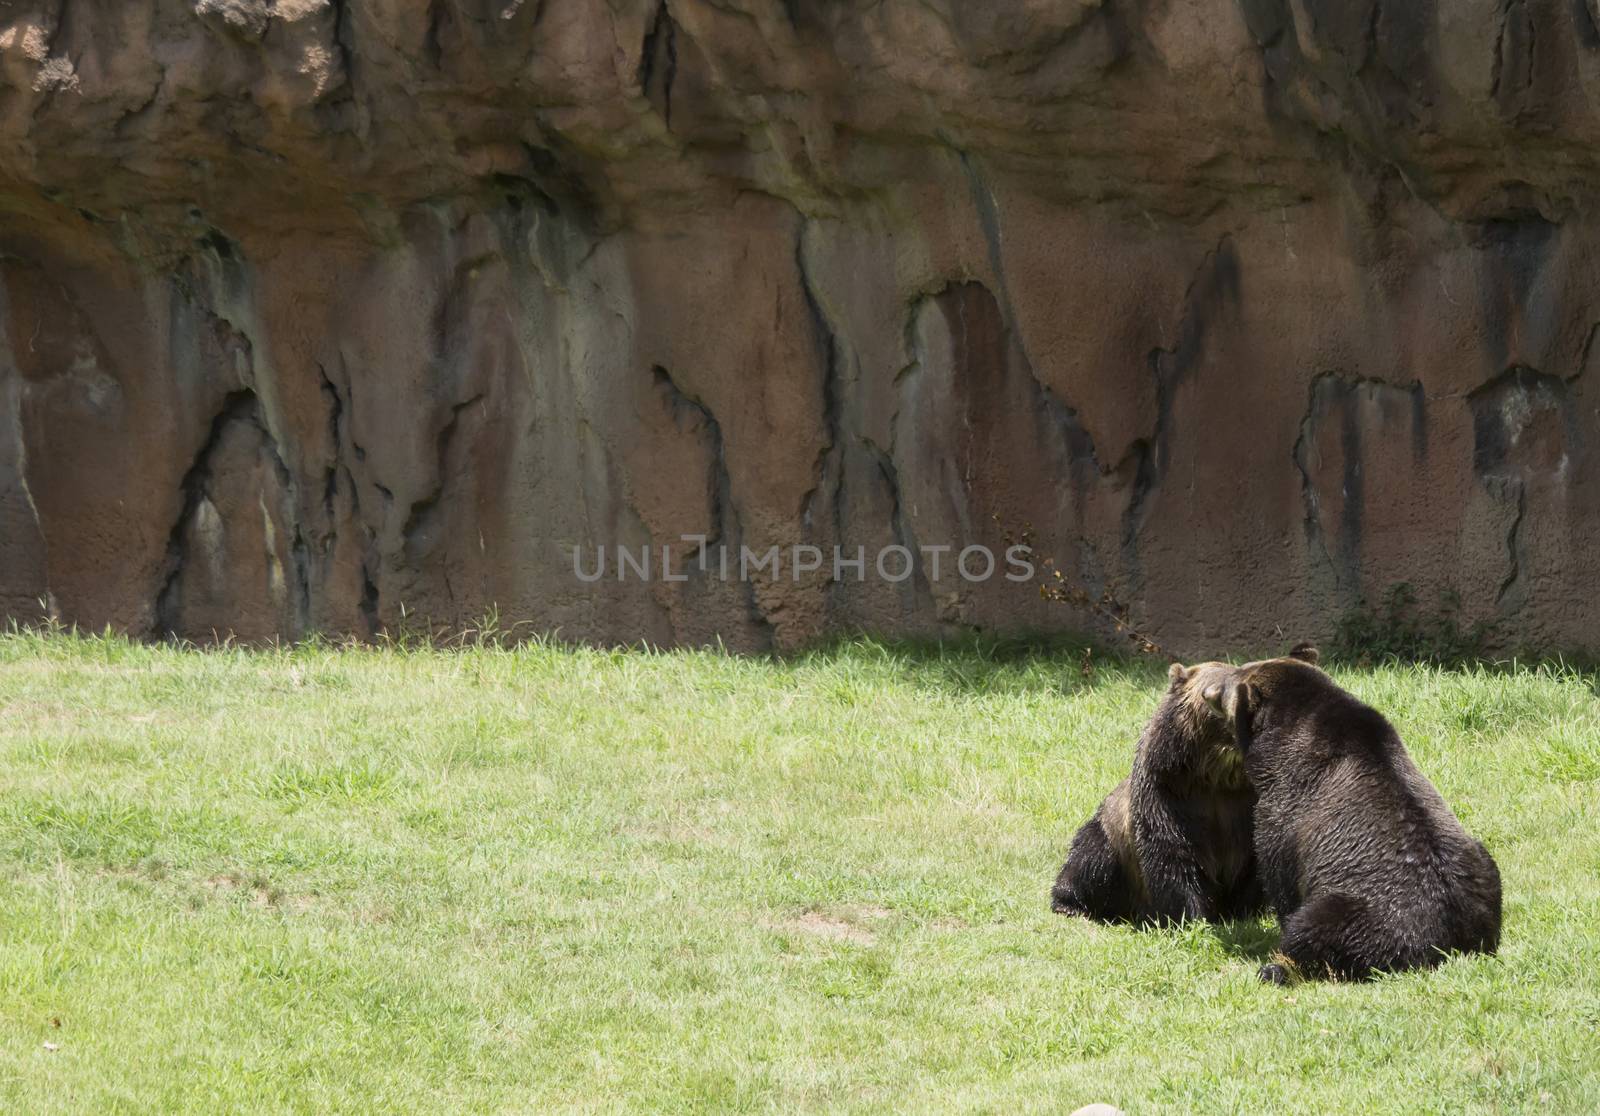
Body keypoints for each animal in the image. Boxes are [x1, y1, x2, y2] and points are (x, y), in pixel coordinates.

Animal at [1056, 661, 1267, 920]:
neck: (1219, 775)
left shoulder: (1249, 802)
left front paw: (1245, 911)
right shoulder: (1169, 790)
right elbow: (1170, 851)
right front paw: (1190, 915)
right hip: (1110, 838)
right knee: (1088, 862)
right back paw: (1069, 904)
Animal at [1203, 649, 1504, 978]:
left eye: (1229, 681)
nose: (1207, 691)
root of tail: (1452, 943)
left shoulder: (1287, 809)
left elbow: (1281, 876)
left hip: (1366, 914)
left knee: (1316, 928)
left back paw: (1277, 969)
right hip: (1482, 873)